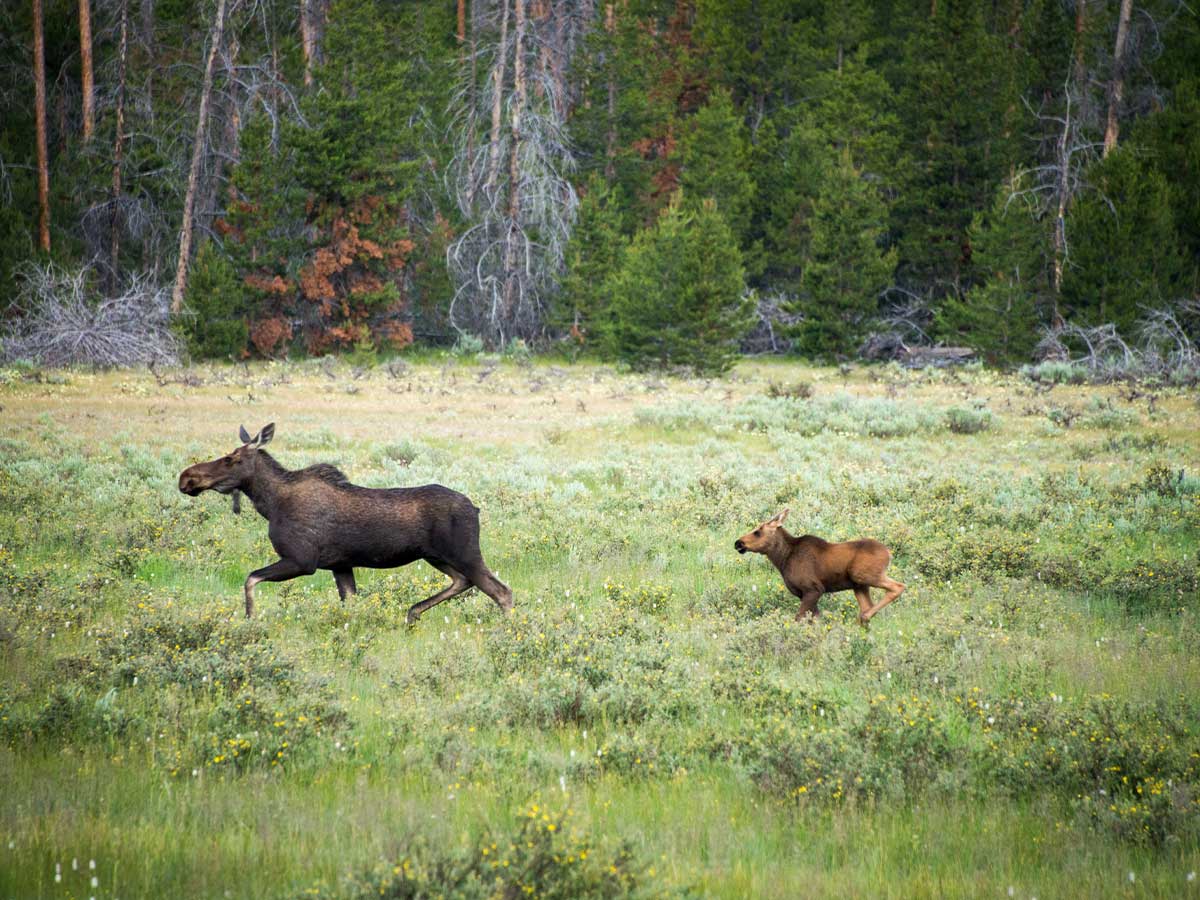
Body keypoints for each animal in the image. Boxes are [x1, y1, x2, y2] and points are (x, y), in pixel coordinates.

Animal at [177, 423, 513, 624]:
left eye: (231, 459)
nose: (186, 477)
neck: (269, 504)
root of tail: (476, 508)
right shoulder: (340, 565)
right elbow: (351, 606)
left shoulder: (303, 560)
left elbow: (250, 579)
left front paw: (250, 619)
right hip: (436, 556)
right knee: (463, 582)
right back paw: (412, 612)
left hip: (463, 552)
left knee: (501, 591)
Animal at [734, 509, 904, 625]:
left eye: (758, 532)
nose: (738, 543)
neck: (782, 559)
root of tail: (889, 554)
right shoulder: (806, 594)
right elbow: (816, 620)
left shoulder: (813, 589)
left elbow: (799, 618)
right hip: (859, 585)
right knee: (867, 606)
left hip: (864, 575)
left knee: (898, 586)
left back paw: (865, 617)